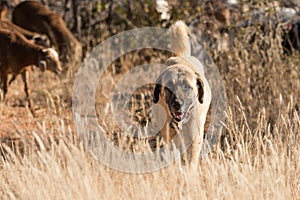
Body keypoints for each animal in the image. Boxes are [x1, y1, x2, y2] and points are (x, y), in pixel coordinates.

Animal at [152, 20, 211, 167]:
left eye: (187, 87)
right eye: (169, 87)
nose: (178, 104)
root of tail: (181, 57)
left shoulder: (195, 141)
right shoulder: (171, 141)